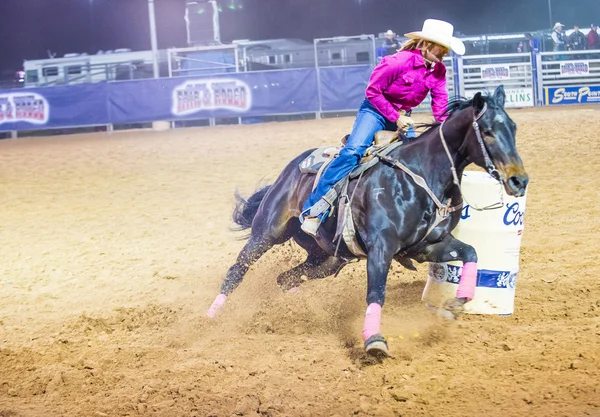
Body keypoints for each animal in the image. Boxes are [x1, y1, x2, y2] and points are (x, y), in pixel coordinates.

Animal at [206, 86, 528, 356]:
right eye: (487, 131)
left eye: (513, 128)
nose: (519, 180)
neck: (421, 174)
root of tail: (291, 169)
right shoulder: (381, 248)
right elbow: (376, 292)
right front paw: (374, 340)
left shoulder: (427, 246)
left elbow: (471, 252)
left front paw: (454, 305)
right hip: (268, 233)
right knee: (237, 271)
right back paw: (211, 316)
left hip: (326, 258)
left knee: (286, 279)